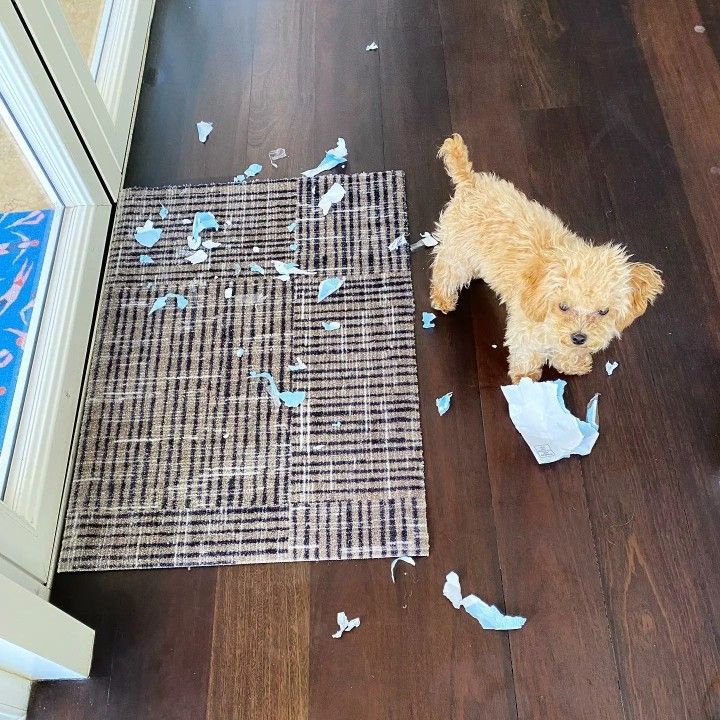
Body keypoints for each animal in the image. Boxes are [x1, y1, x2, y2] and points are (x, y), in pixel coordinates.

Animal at [428, 134, 664, 382]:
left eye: (603, 311)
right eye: (563, 306)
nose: (579, 337)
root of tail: (470, 182)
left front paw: (572, 363)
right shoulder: (525, 330)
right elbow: (526, 354)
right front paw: (526, 379)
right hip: (457, 255)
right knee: (445, 271)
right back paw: (444, 298)